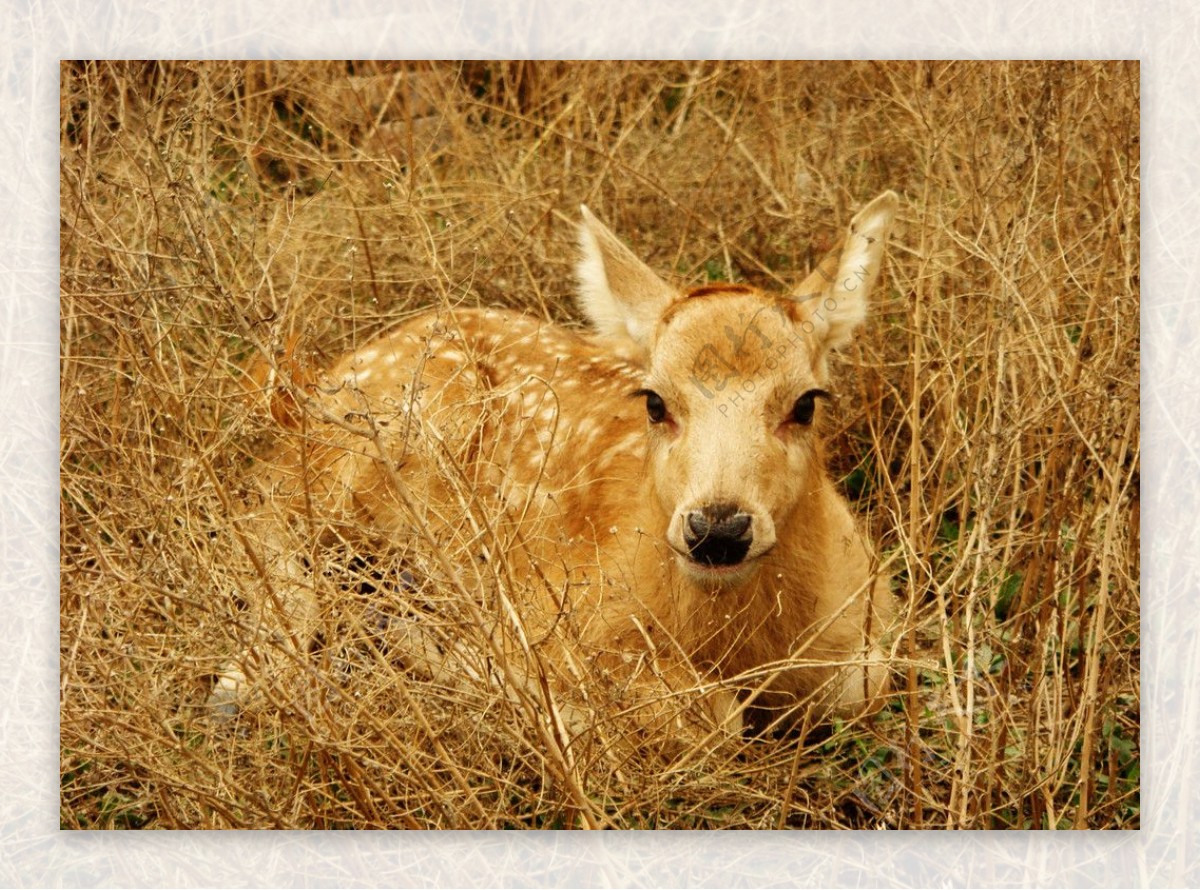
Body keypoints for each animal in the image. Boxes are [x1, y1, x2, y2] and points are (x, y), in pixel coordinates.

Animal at [208, 191, 902, 748]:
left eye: (806, 402)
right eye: (655, 402)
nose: (718, 530)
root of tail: (308, 388)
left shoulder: (869, 633)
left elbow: (858, 688)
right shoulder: (567, 621)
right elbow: (710, 721)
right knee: (259, 522)